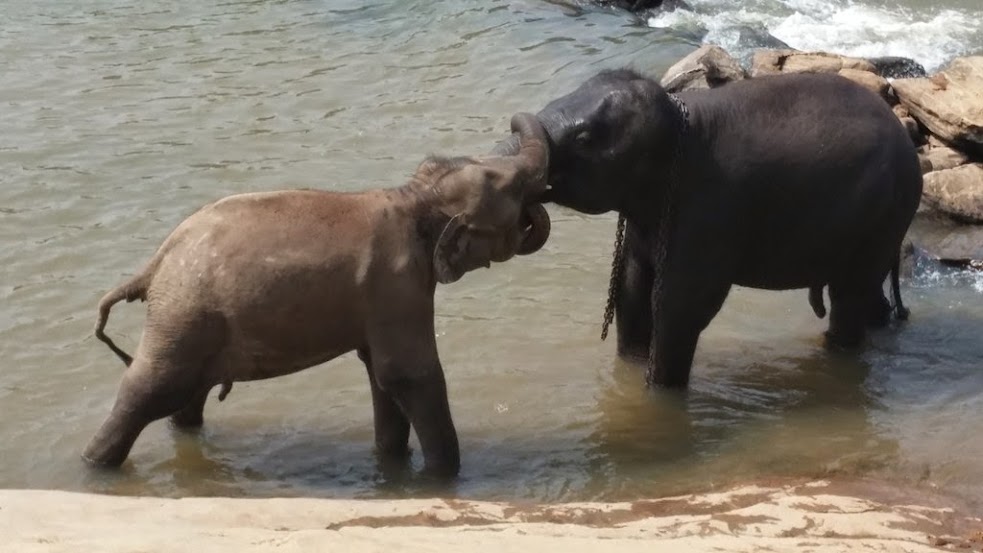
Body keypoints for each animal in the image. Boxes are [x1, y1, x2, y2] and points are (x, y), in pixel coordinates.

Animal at [86, 113, 552, 478]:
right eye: (513, 187)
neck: (415, 198)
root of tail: (156, 262)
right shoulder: (398, 283)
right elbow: (409, 374)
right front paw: (443, 477)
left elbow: (379, 375)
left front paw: (392, 463)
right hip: (184, 316)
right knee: (148, 392)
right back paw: (95, 465)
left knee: (184, 399)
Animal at [496, 69, 928, 386]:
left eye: (584, 138)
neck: (680, 119)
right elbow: (632, 292)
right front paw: (631, 374)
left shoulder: (708, 210)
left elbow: (678, 305)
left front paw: (659, 393)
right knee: (865, 292)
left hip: (884, 213)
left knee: (849, 293)